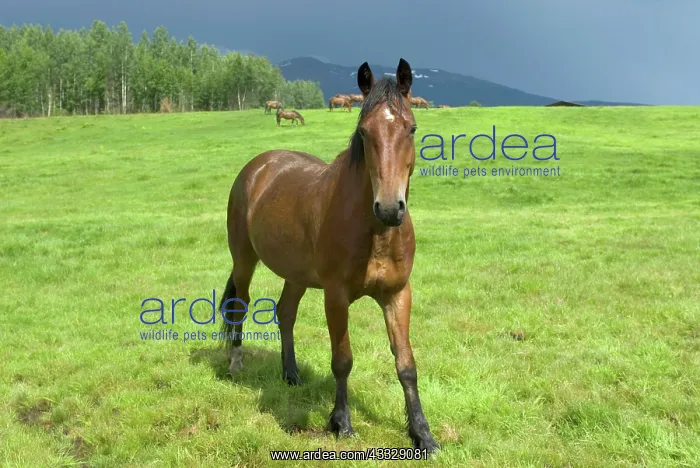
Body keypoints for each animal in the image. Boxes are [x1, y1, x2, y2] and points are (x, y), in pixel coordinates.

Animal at [218, 58, 439, 453]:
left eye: (411, 128)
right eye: (364, 132)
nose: (389, 208)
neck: (374, 232)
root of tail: (258, 167)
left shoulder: (398, 294)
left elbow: (406, 364)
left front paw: (422, 434)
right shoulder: (336, 297)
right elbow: (342, 359)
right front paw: (342, 422)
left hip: (296, 274)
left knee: (285, 312)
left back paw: (291, 374)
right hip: (244, 260)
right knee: (239, 307)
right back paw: (236, 365)